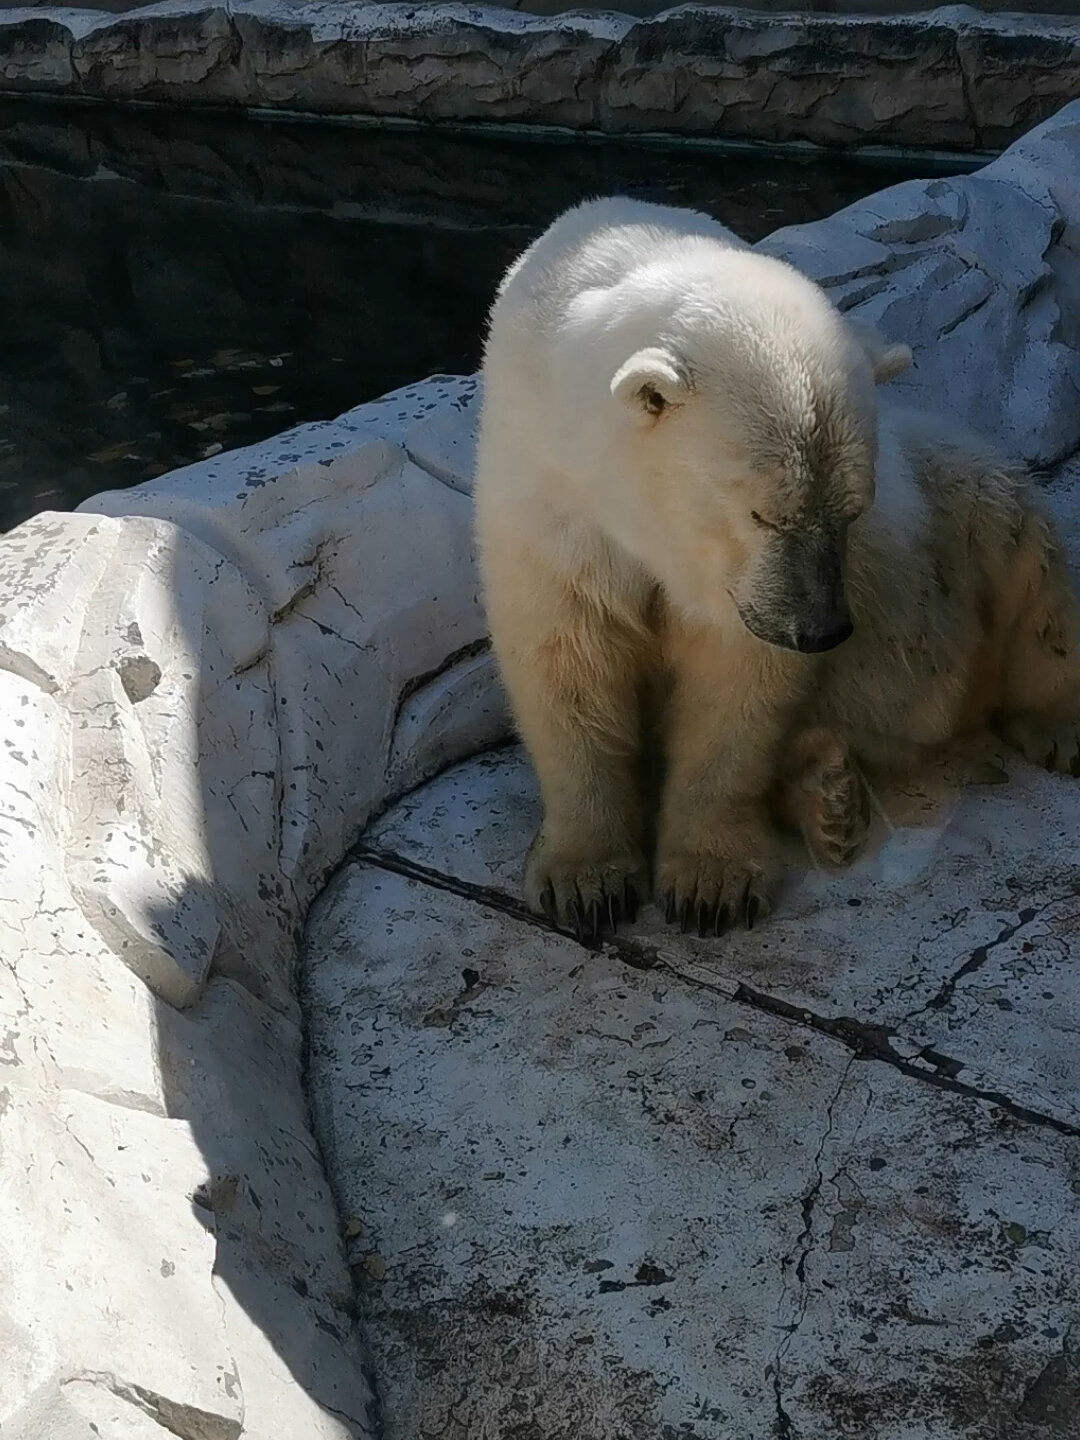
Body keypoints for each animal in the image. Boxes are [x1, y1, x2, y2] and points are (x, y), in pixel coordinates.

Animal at [473, 196, 1080, 941]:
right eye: (765, 514)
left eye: (853, 510)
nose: (822, 631)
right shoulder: (550, 498)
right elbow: (569, 654)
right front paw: (586, 883)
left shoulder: (744, 591)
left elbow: (738, 688)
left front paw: (711, 886)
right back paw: (830, 801)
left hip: (950, 500)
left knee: (1027, 559)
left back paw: (1056, 728)